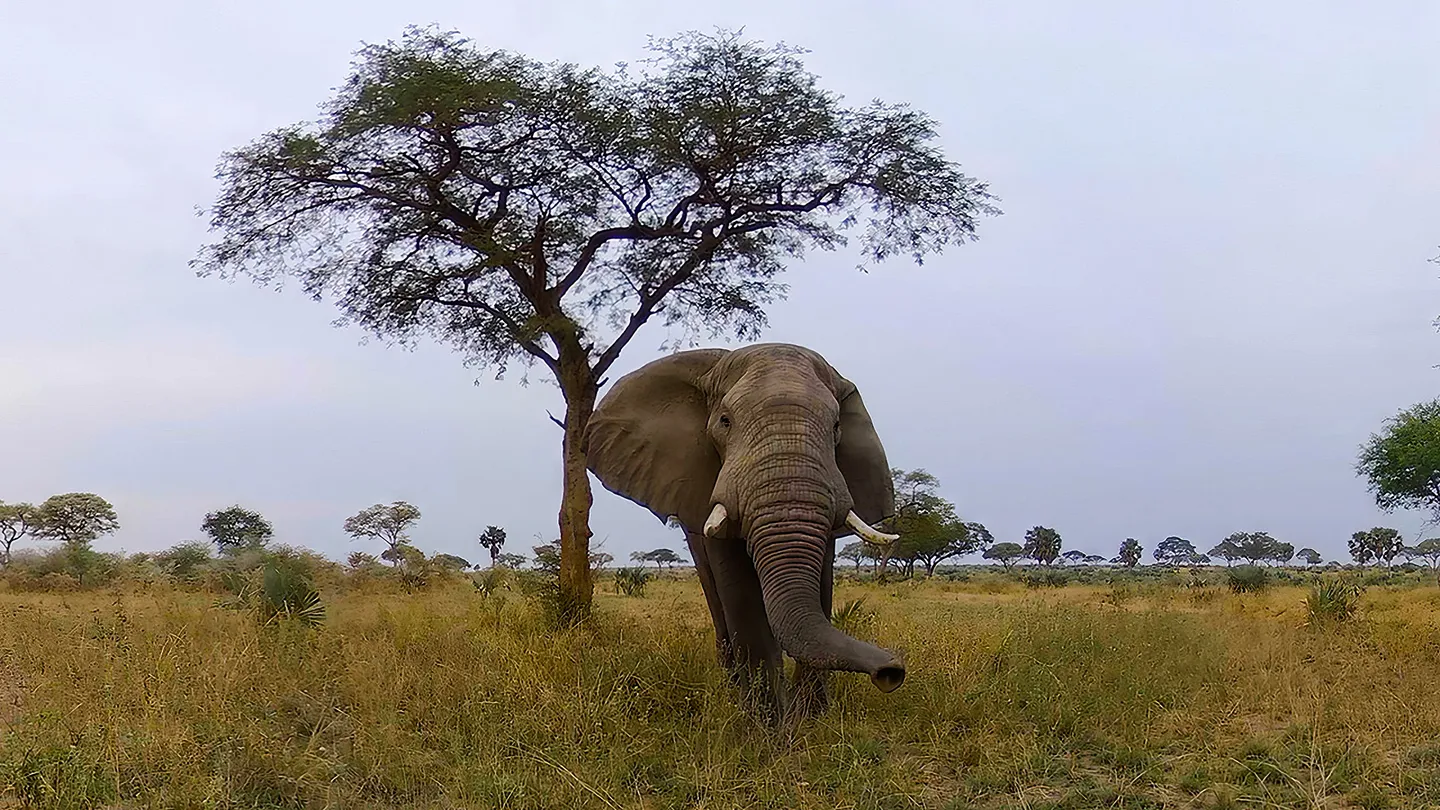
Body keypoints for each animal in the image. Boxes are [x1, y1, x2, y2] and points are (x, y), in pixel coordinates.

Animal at [583, 342, 906, 720]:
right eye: (725, 421)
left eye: (837, 426)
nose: (891, 672)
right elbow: (740, 592)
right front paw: (768, 727)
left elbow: (822, 588)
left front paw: (812, 721)